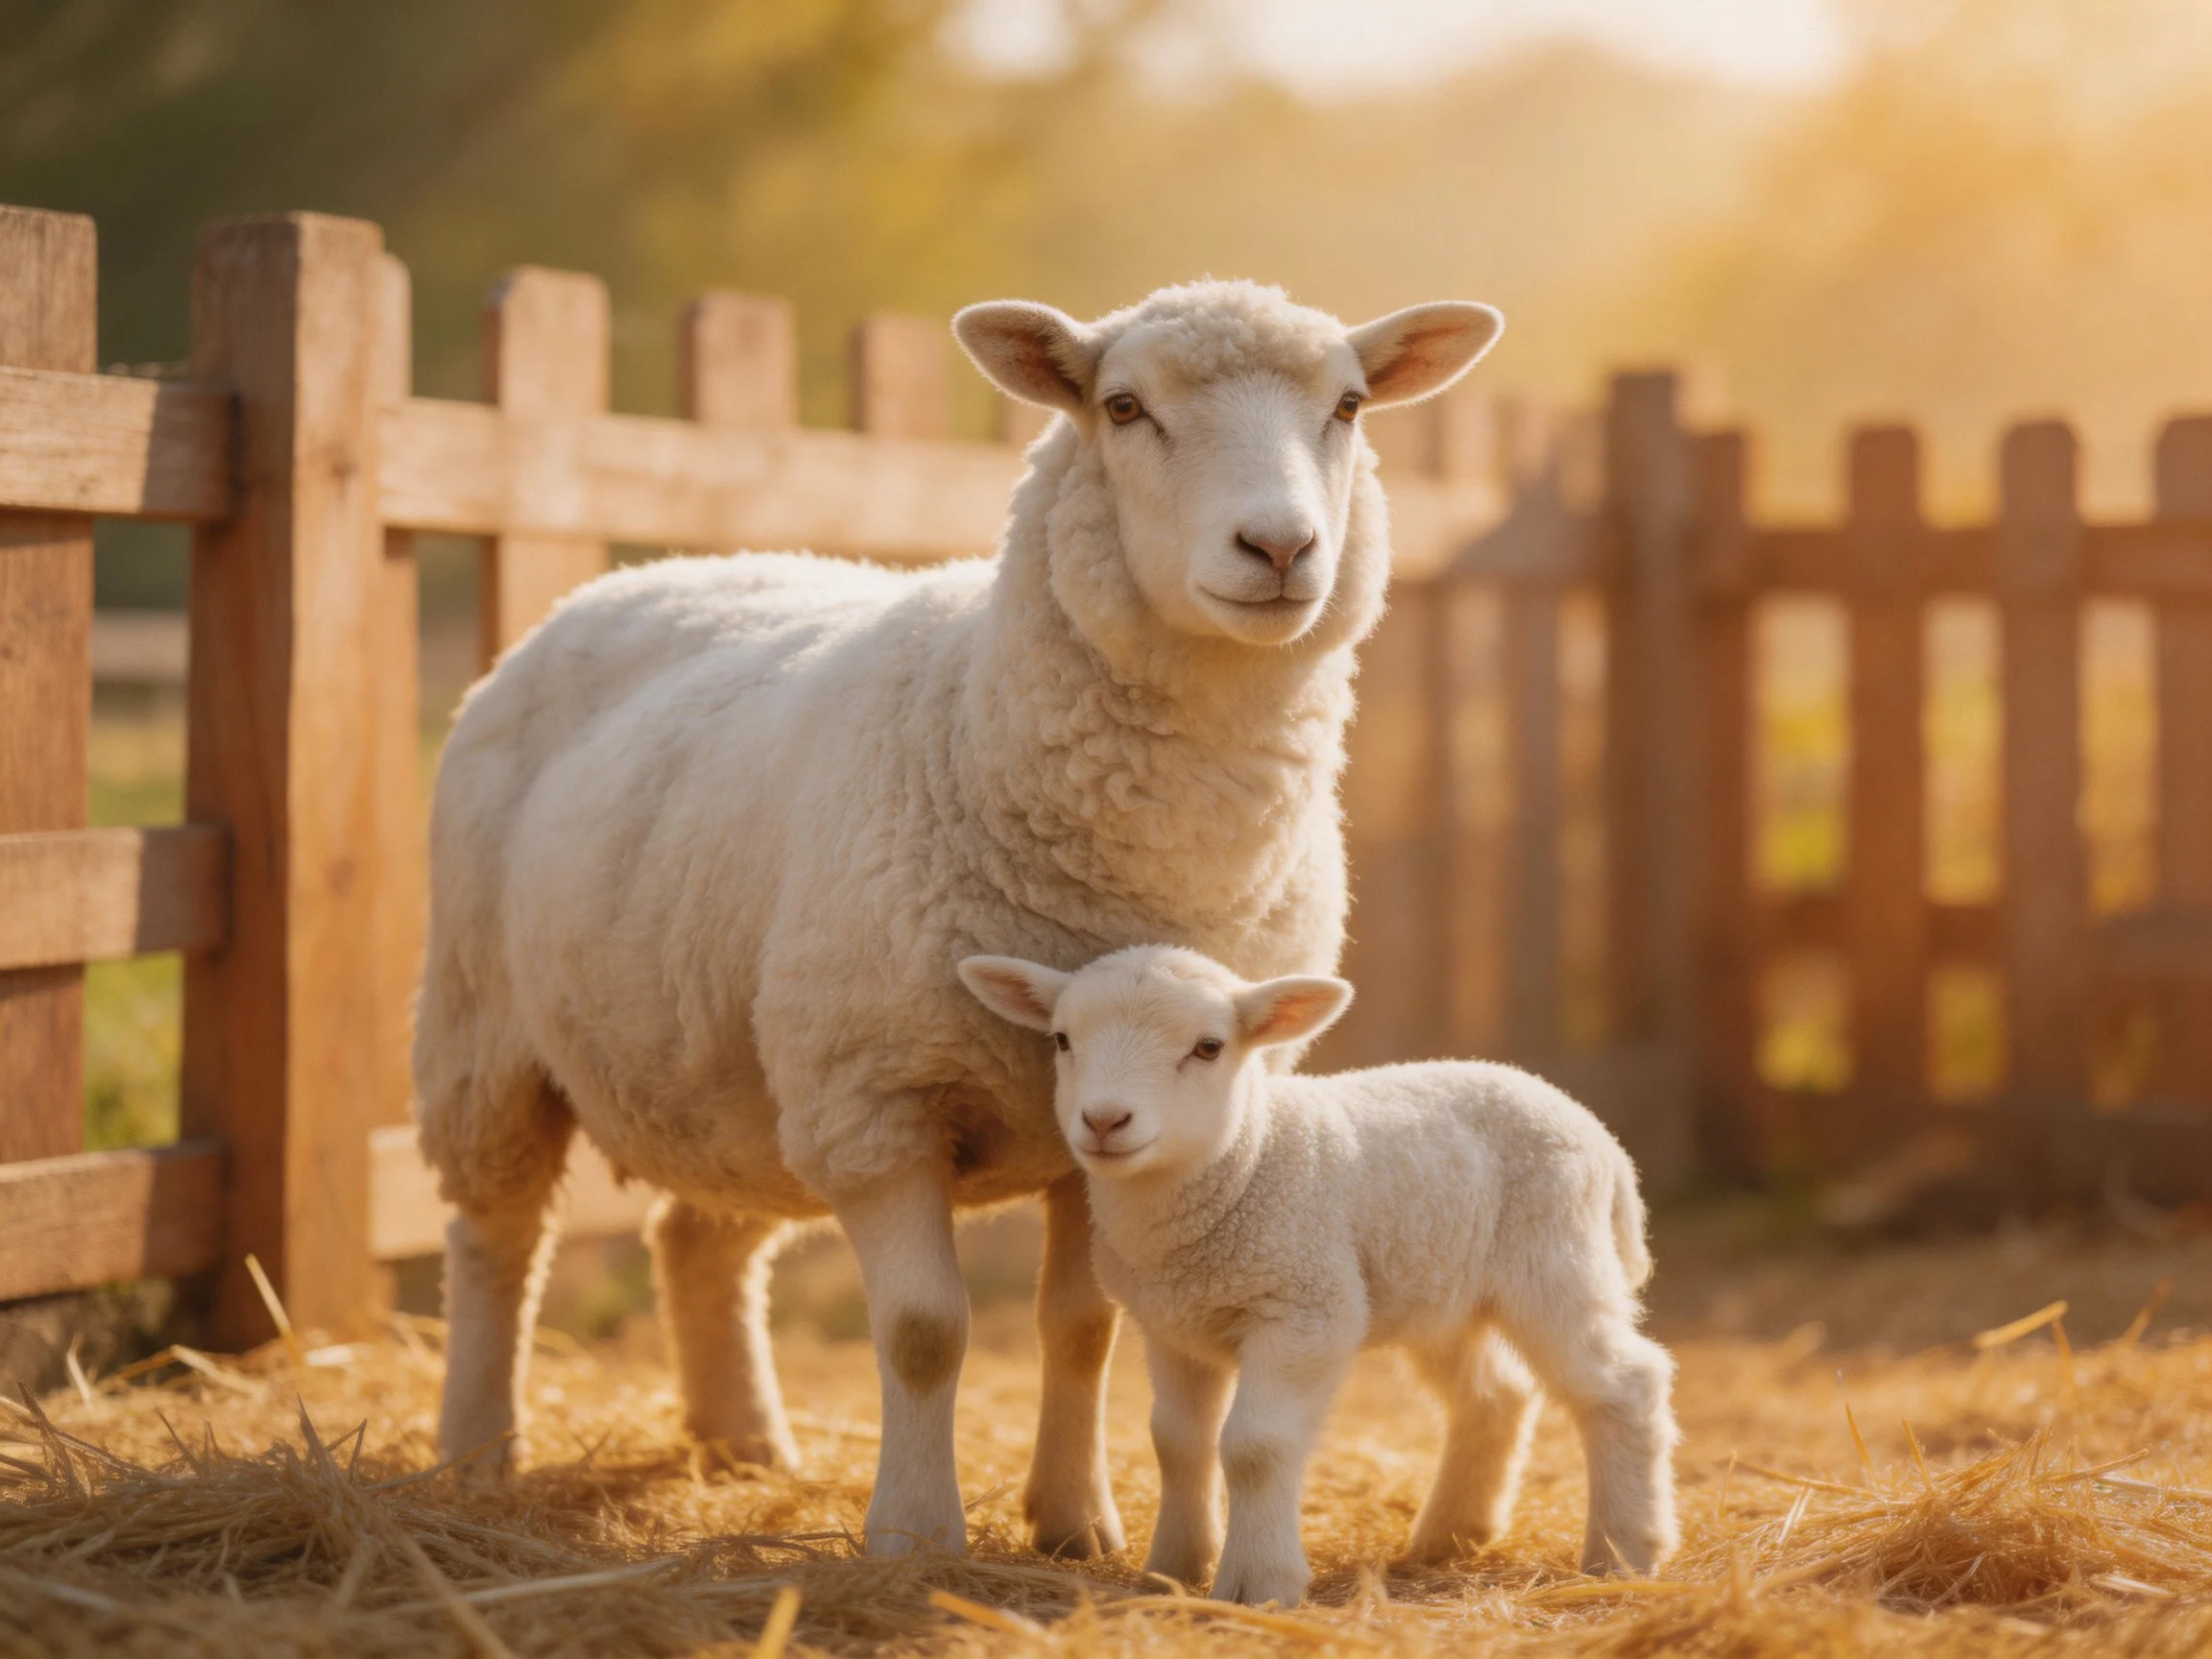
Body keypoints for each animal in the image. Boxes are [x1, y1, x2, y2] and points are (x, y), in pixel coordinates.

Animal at [412, 281, 1504, 1558]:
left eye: (1348, 406)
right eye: (1122, 406)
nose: (1281, 549)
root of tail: (652, 570)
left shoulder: (1114, 1132)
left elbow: (1083, 1328)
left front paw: (1075, 1523)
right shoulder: (877, 1101)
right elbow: (926, 1331)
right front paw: (916, 1536)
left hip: (734, 1064)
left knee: (699, 1240)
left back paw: (744, 1445)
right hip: (487, 1029)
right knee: (496, 1238)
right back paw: (478, 1455)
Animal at [958, 944, 1679, 1607]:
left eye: (1208, 1047)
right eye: (1061, 1039)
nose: (1105, 1120)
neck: (1245, 1159)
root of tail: (1597, 1133)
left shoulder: (1304, 1308)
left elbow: (1254, 1446)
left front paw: (1257, 1583)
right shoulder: (1174, 1326)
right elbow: (1179, 1442)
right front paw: (1174, 1570)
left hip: (1556, 1257)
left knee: (1624, 1385)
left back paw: (1624, 1551)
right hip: (1435, 1290)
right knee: (1495, 1395)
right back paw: (1449, 1538)